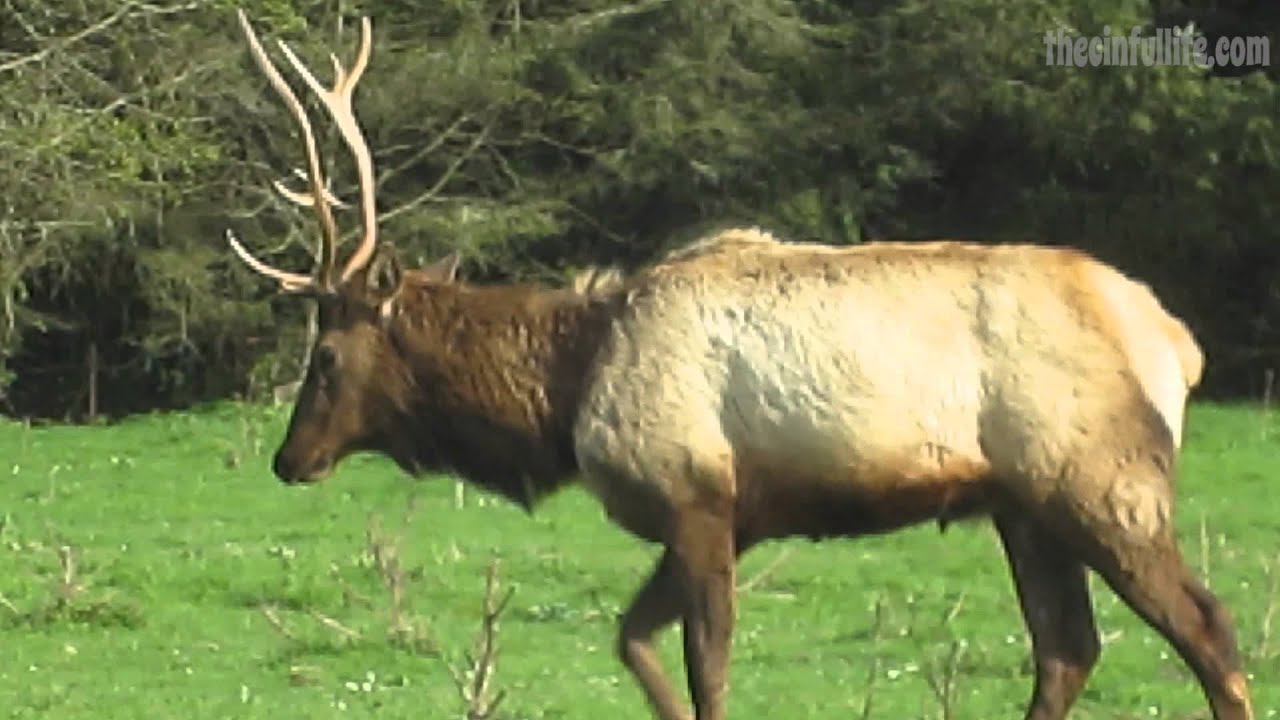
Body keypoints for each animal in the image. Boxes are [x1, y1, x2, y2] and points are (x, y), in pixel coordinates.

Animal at [222, 10, 1254, 720]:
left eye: (326, 354)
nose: (289, 458)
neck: (568, 389)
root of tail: (1176, 341)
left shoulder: (697, 498)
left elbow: (703, 669)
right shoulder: (730, 518)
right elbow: (632, 643)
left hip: (1099, 480)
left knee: (1207, 629)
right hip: (1022, 505)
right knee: (1068, 648)